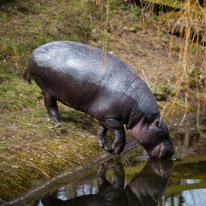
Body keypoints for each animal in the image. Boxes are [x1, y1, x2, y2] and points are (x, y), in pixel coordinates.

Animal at [23, 40, 173, 159]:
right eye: (164, 134)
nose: (172, 153)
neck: (140, 115)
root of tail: (35, 50)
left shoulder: (103, 116)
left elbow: (101, 130)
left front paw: (106, 147)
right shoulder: (110, 116)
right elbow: (120, 130)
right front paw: (117, 149)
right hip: (47, 89)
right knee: (50, 106)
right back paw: (58, 121)